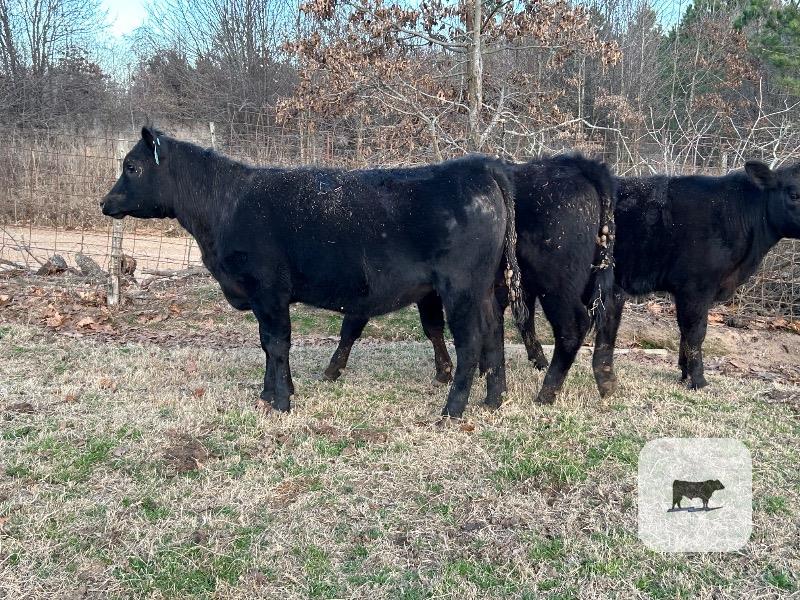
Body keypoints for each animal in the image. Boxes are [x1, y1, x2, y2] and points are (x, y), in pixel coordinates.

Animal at [100, 127, 528, 417]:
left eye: (131, 166)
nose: (105, 203)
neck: (227, 206)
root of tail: (479, 166)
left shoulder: (268, 290)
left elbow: (277, 343)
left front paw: (280, 402)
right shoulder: (263, 297)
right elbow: (267, 343)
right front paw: (271, 393)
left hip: (461, 288)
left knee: (471, 342)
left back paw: (452, 409)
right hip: (484, 288)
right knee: (494, 335)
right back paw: (493, 400)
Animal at [322, 155, 618, 405]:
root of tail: (576, 163)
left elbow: (353, 324)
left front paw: (332, 369)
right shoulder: (429, 291)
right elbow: (433, 327)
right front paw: (446, 371)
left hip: (557, 284)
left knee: (573, 326)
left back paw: (546, 392)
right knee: (606, 315)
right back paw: (604, 381)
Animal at [522, 161, 800, 390]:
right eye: (794, 194)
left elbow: (685, 333)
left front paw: (685, 374)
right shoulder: (696, 288)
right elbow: (696, 332)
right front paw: (698, 381)